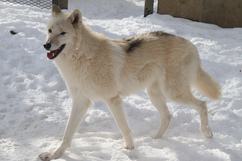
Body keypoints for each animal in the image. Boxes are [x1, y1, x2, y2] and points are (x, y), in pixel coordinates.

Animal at [39, 4, 221, 160]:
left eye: (63, 33)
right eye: (50, 31)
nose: (46, 45)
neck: (83, 57)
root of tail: (191, 44)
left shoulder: (113, 99)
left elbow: (124, 127)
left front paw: (129, 149)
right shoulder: (80, 101)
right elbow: (67, 134)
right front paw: (54, 154)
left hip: (174, 93)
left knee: (202, 104)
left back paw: (206, 133)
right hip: (154, 94)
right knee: (168, 116)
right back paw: (154, 140)